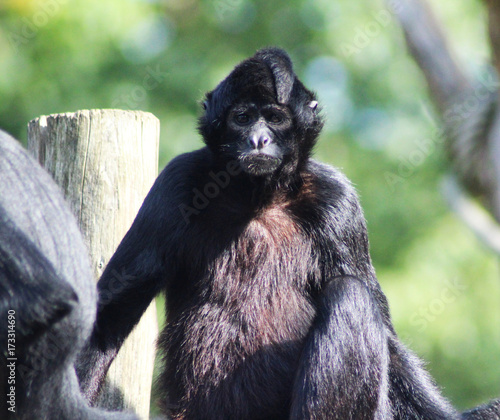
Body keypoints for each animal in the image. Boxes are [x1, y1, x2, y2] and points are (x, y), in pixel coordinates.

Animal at [77, 47, 500, 418]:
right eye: (243, 117)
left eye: (275, 118)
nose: (259, 139)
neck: (257, 201)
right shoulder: (176, 184)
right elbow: (110, 312)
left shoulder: (338, 202)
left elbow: (387, 336)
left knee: (350, 294)